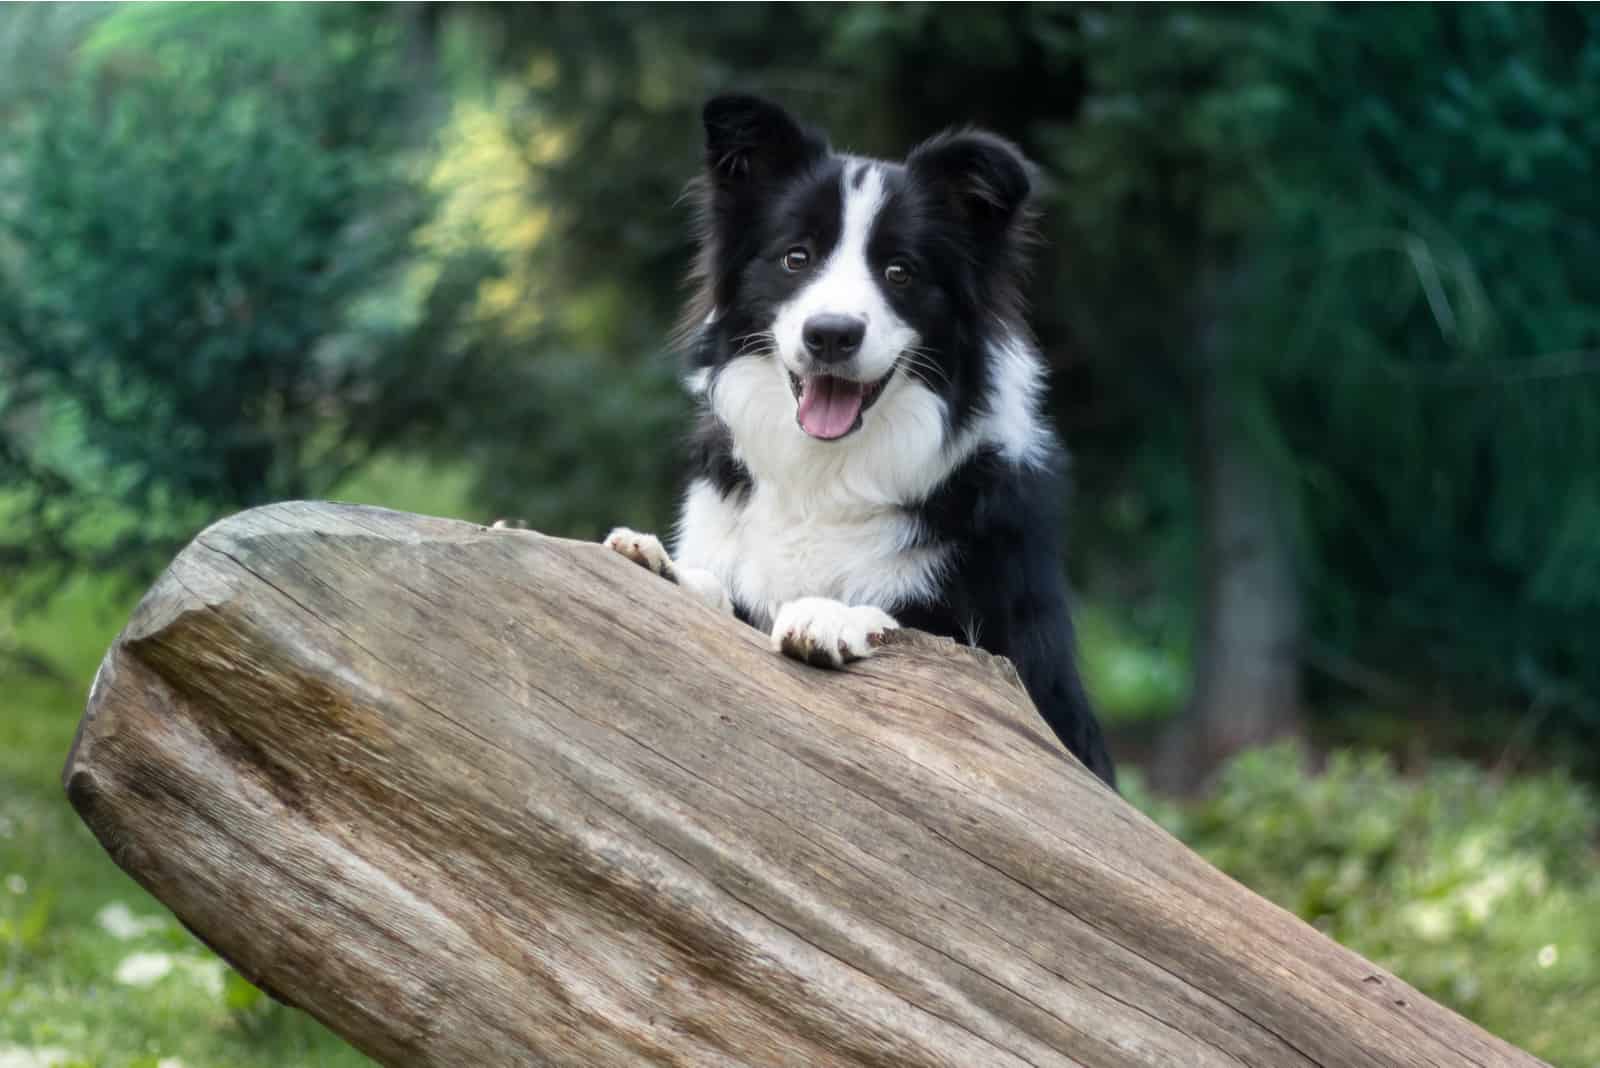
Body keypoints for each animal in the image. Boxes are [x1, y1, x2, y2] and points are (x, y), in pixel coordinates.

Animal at [601, 97, 1113, 783]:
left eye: (900, 272)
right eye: (796, 258)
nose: (831, 335)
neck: (826, 472)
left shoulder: (1013, 664)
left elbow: (912, 629)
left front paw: (828, 615)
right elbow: (721, 594)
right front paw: (659, 564)